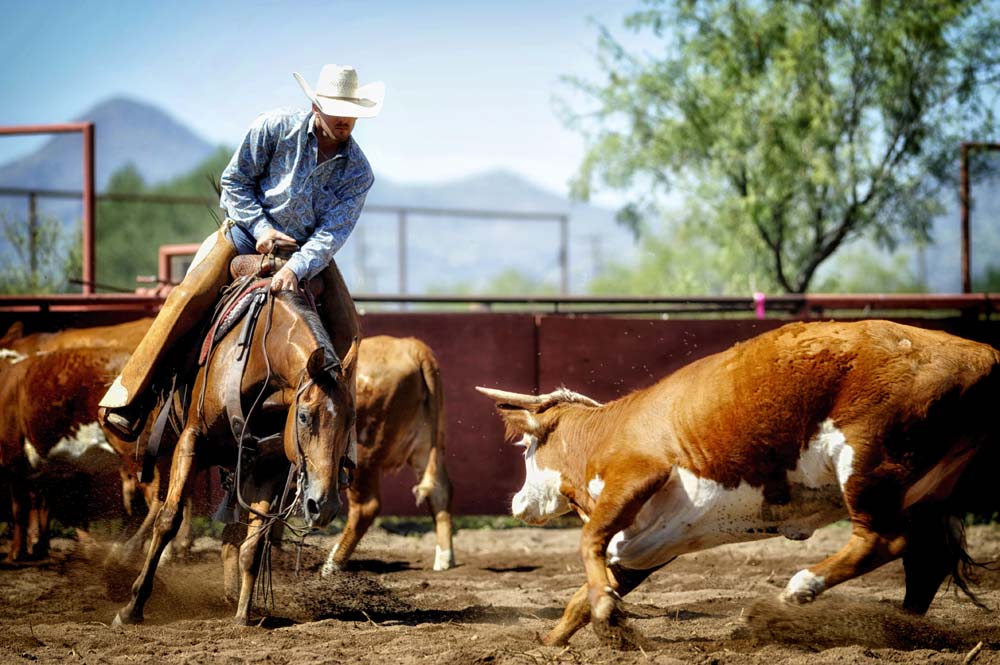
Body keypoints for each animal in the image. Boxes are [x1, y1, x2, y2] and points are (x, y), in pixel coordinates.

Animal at [114, 286, 360, 628]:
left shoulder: (270, 464)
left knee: (232, 535)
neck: (261, 361)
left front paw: (244, 614)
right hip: (165, 447)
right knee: (160, 501)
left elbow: (253, 545)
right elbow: (168, 519)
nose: (323, 507)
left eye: (351, 422)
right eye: (304, 417)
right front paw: (132, 607)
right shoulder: (191, 440)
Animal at [476, 322, 1000, 648]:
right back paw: (903, 628)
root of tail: (980, 354)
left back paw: (800, 589)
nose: (517, 502)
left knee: (883, 540)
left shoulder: (637, 476)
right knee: (925, 561)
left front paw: (606, 612)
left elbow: (588, 544)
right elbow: (584, 592)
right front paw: (554, 639)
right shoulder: (649, 541)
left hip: (870, 462)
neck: (605, 432)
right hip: (928, 491)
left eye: (526, 449)